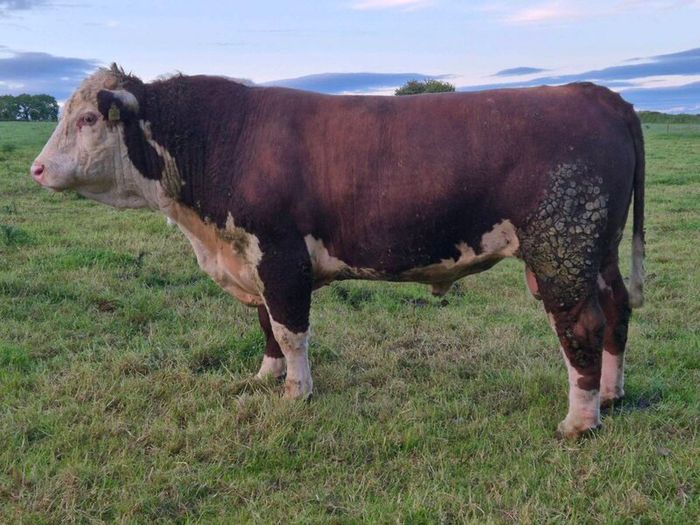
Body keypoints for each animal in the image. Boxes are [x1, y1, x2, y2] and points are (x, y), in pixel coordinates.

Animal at [31, 64, 645, 439]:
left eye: (88, 118)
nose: (36, 169)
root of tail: (592, 92)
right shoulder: (253, 258)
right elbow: (265, 325)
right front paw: (265, 377)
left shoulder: (280, 255)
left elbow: (289, 329)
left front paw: (296, 393)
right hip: (598, 250)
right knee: (617, 309)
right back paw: (611, 395)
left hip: (561, 248)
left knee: (582, 325)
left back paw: (580, 420)